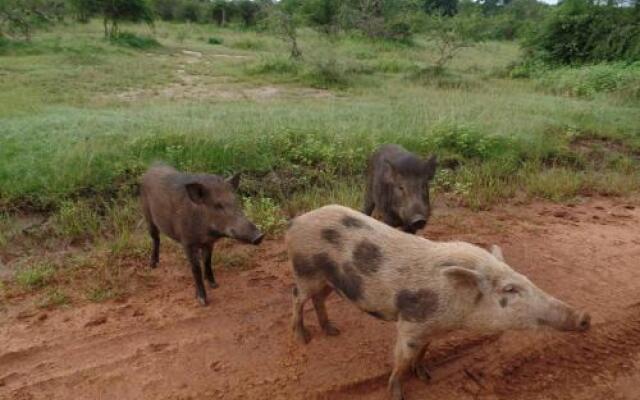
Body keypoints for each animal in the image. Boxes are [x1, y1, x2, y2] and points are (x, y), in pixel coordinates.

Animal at [141, 164, 264, 304]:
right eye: (218, 205)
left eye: (236, 202)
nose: (259, 236)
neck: (206, 233)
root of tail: (153, 166)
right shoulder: (187, 243)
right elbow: (196, 269)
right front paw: (203, 301)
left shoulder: (209, 243)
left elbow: (207, 261)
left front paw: (214, 285)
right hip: (147, 215)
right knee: (155, 239)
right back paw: (153, 265)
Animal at [284, 205, 592, 400]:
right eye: (510, 289)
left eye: (526, 279)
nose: (585, 317)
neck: (457, 312)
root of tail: (296, 221)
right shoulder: (411, 324)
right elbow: (402, 359)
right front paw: (398, 394)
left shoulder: (434, 327)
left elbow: (424, 353)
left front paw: (427, 376)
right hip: (305, 270)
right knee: (297, 298)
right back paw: (303, 338)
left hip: (327, 280)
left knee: (319, 300)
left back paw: (332, 331)